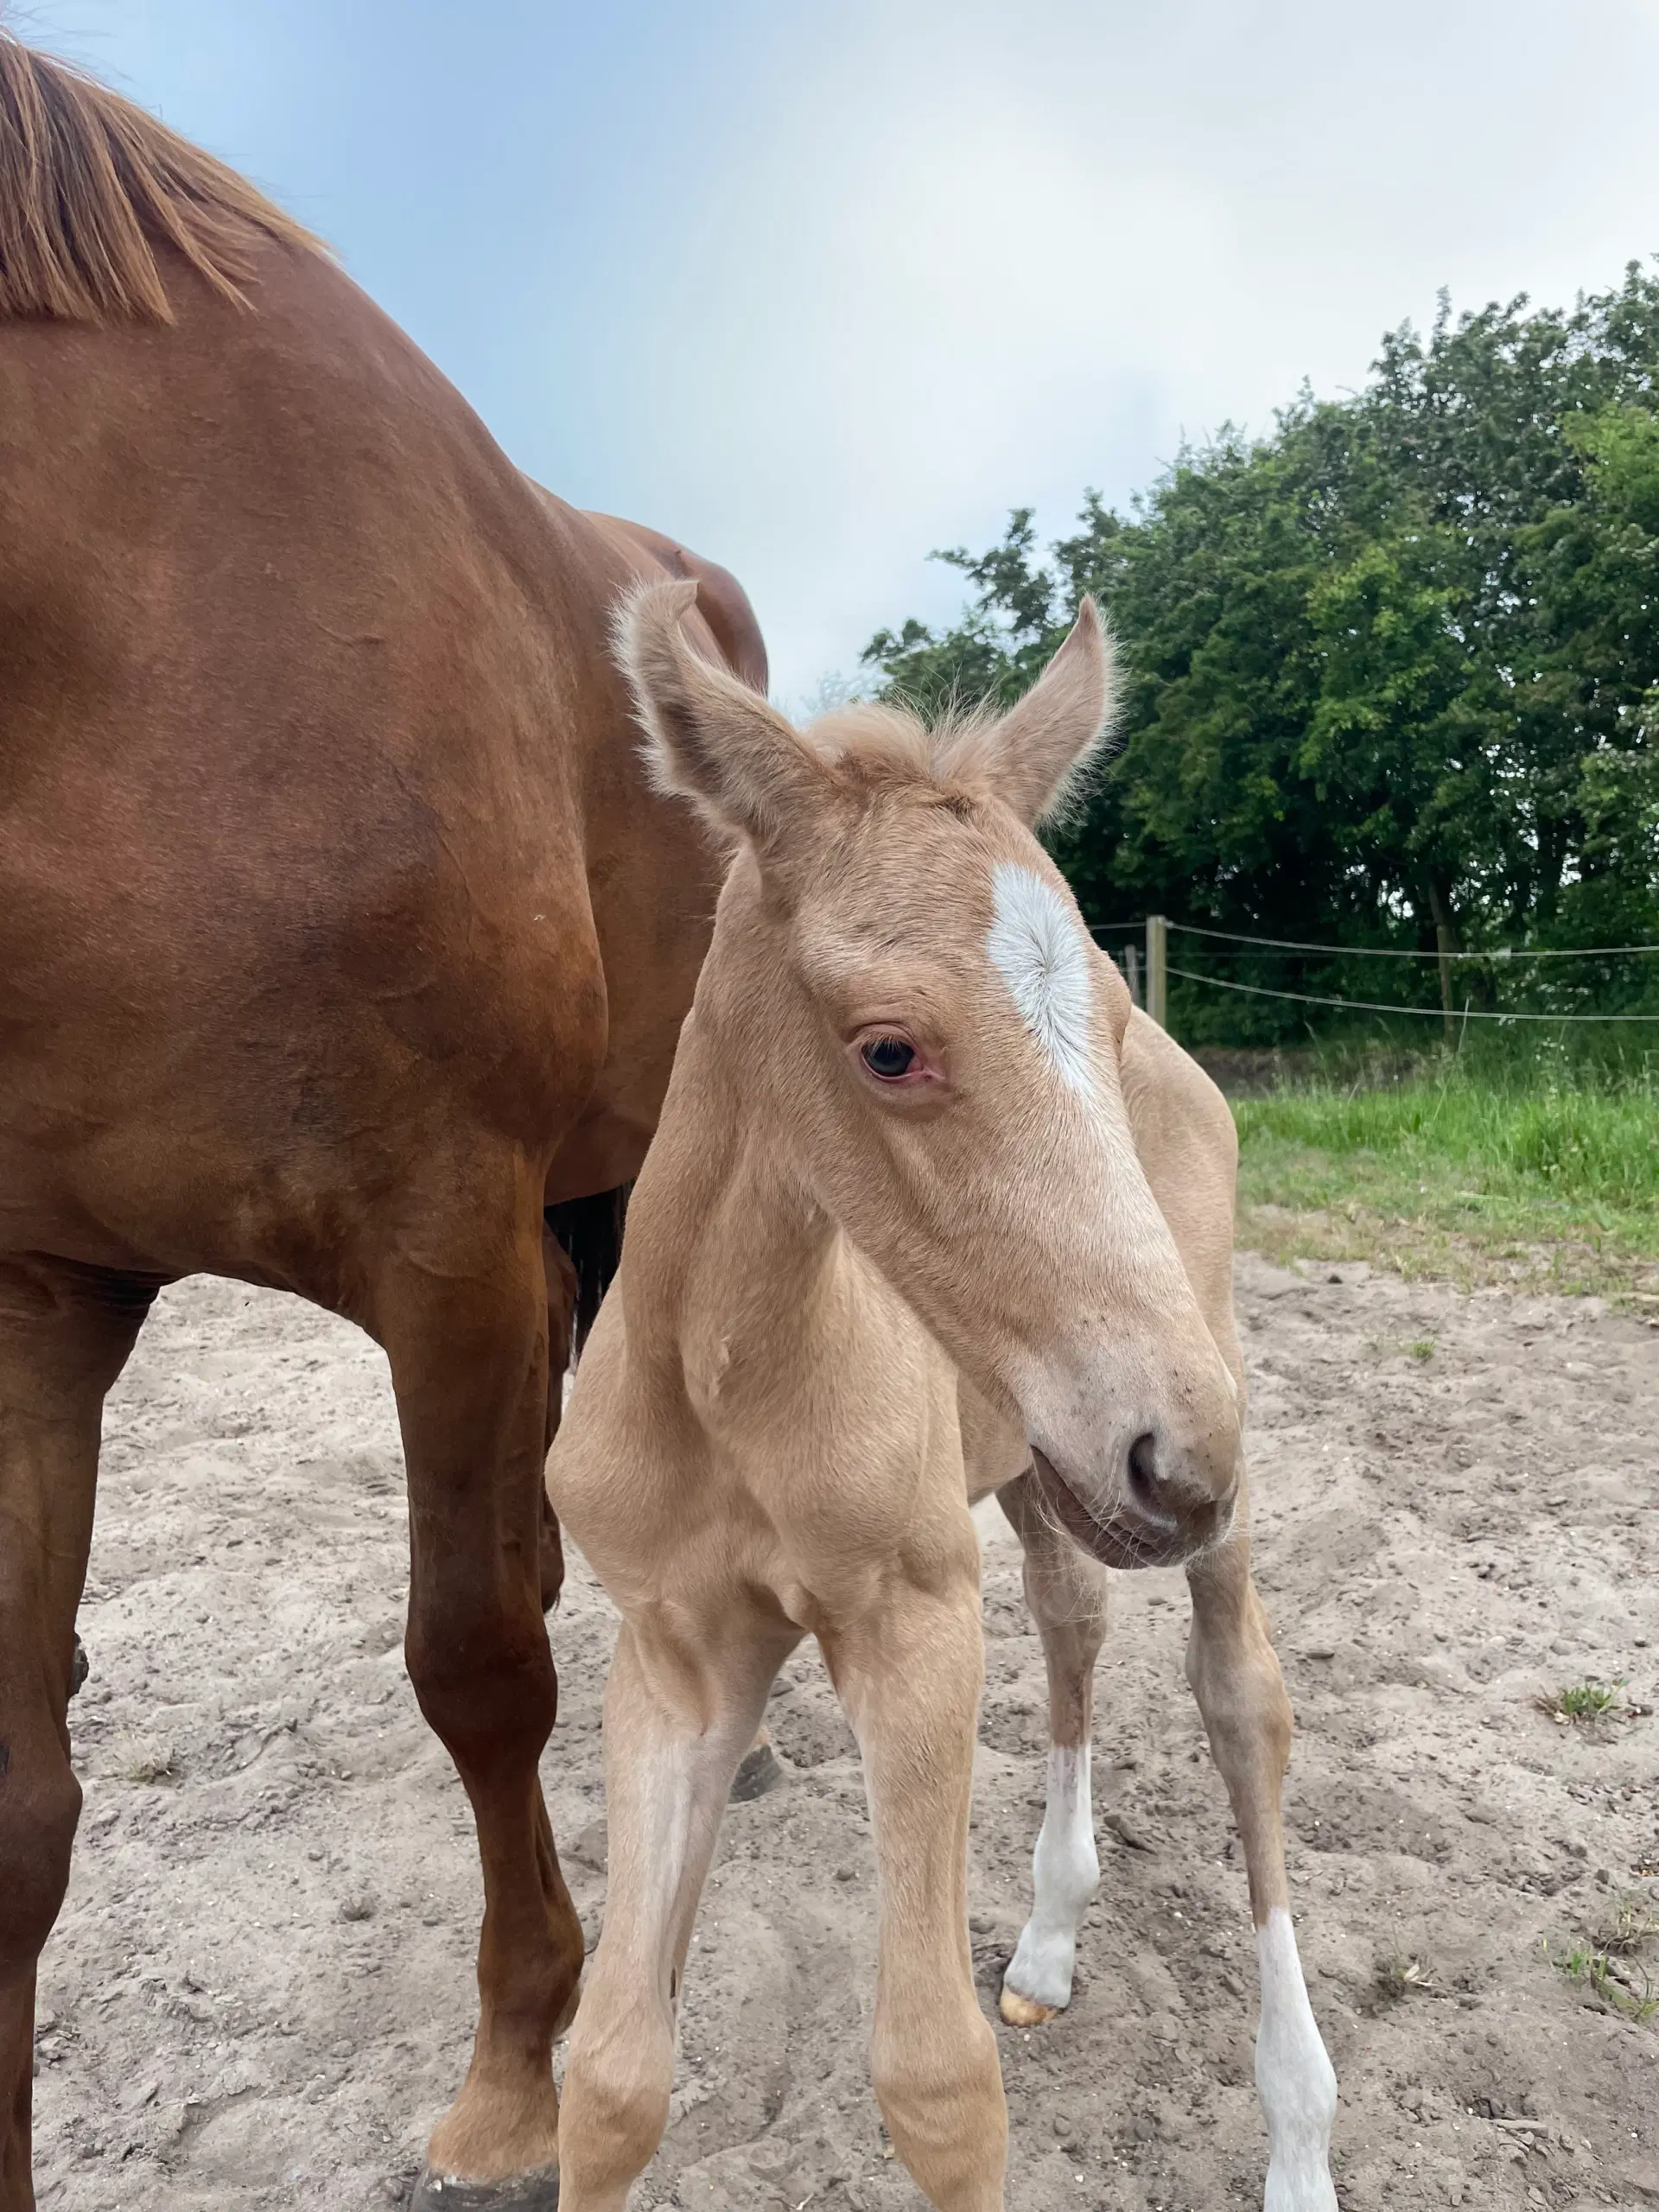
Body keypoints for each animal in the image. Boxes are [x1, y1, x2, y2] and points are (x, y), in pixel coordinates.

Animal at [553, 579, 1344, 2202]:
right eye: (890, 1049)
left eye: (1104, 1017)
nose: (1181, 1463)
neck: (726, 1390)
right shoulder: (672, 1650)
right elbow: (607, 2077)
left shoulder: (914, 1622)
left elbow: (935, 2081)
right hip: (1053, 1470)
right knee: (1076, 1613)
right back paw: (1045, 1939)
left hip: (1185, 1420)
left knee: (1245, 1702)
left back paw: (1301, 2133)